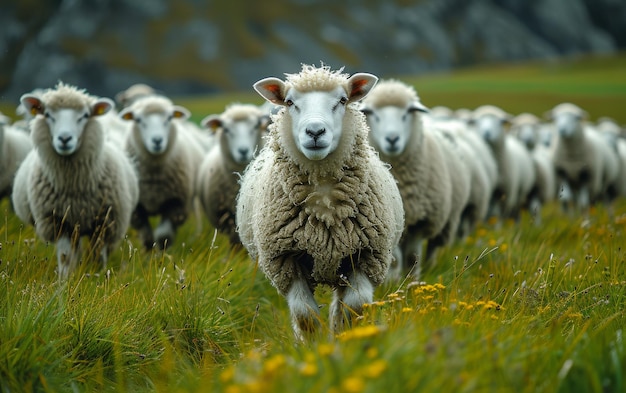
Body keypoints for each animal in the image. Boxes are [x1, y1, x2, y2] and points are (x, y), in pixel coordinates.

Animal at [11, 82, 139, 278]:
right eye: (47, 115)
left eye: (85, 116)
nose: (65, 139)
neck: (73, 187)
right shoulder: (60, 223)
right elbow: (65, 258)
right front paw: (66, 280)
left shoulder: (103, 223)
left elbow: (97, 256)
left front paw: (96, 275)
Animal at [119, 94, 202, 248]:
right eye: (138, 119)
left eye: (169, 118)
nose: (157, 140)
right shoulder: (137, 209)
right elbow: (147, 238)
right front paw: (148, 253)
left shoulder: (176, 204)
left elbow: (164, 236)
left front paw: (162, 253)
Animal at [235, 63, 404, 336]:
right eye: (290, 102)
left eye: (342, 100)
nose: (315, 131)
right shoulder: (286, 261)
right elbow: (305, 315)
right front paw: (314, 344)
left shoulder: (366, 256)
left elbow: (353, 308)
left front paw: (345, 337)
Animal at [356, 79, 468, 280]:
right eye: (373, 114)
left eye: (407, 113)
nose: (392, 139)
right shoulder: (393, 223)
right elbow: (395, 259)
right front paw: (392, 281)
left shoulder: (420, 222)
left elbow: (412, 257)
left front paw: (413, 281)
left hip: (446, 221)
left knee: (433, 246)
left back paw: (430, 267)